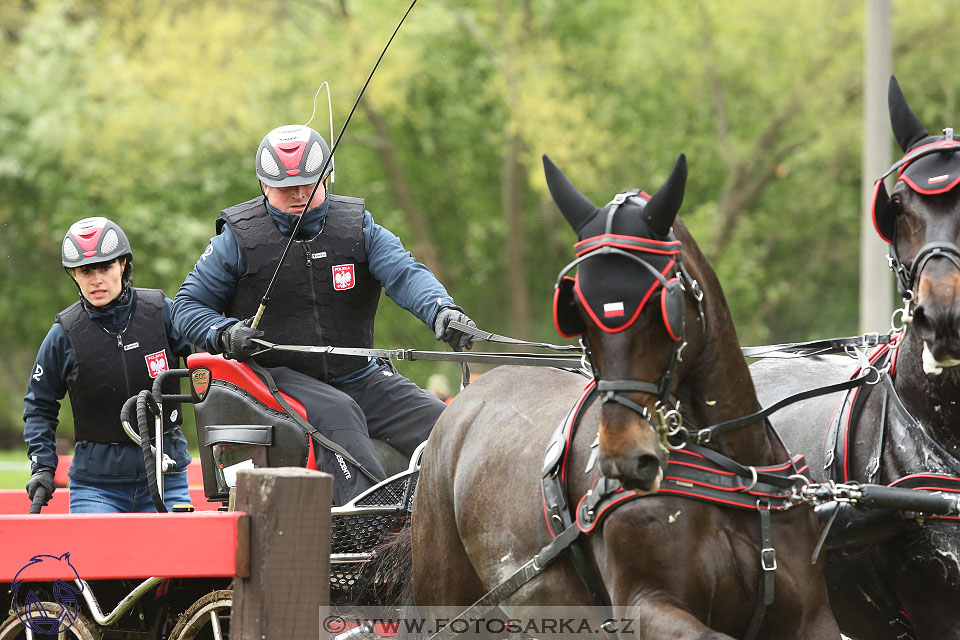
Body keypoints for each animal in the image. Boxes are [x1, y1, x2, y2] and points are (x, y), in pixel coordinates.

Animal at [412, 156, 840, 640]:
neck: (729, 471)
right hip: (447, 601)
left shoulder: (813, 616)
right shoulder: (646, 605)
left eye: (661, 304)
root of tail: (467, 399)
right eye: (578, 310)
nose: (624, 458)